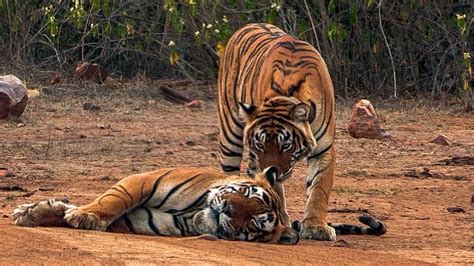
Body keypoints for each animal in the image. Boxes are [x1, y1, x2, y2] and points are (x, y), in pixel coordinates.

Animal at [218, 23, 336, 240]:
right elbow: (276, 192)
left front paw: (316, 226)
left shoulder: (324, 148)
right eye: (260, 144)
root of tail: (248, 25)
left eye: (286, 145)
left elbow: (319, 189)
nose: (272, 170)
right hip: (230, 135)